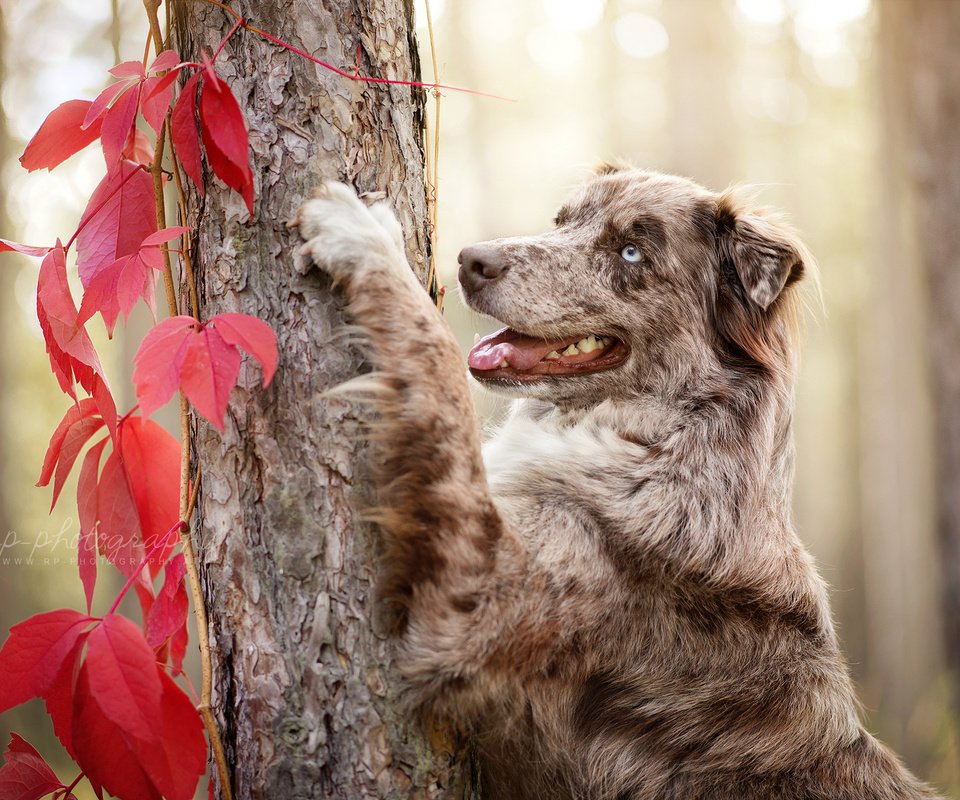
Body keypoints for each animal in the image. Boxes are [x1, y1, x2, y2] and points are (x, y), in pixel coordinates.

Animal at [292, 167, 936, 800]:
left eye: (630, 252)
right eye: (561, 221)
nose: (472, 260)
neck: (657, 441)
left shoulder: (474, 594)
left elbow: (441, 363)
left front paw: (365, 238)